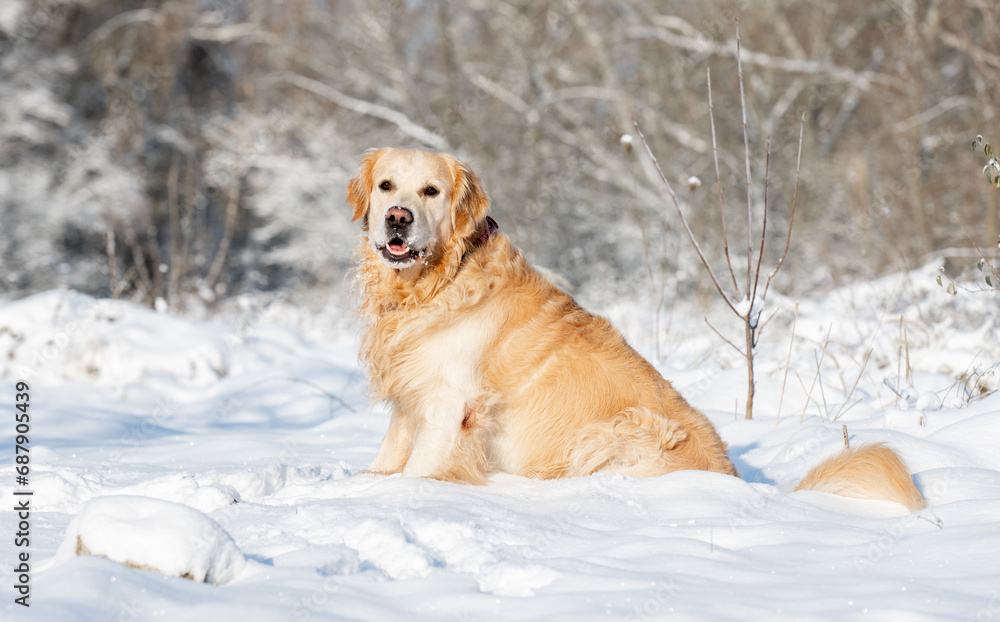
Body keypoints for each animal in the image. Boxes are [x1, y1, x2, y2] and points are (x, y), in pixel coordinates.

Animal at [348, 147, 924, 512]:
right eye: (386, 186)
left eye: (431, 191)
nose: (398, 217)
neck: (436, 283)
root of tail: (739, 483)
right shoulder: (411, 400)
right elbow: (386, 458)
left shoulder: (451, 404)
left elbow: (419, 468)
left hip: (623, 428)